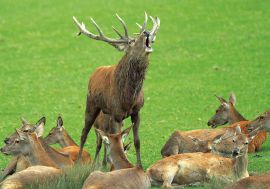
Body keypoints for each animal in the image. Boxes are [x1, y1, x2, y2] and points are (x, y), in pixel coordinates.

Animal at [72, 12, 160, 168]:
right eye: (131, 42)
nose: (146, 32)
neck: (128, 97)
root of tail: (95, 71)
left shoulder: (137, 111)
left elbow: (137, 141)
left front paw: (139, 165)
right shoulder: (116, 114)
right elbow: (116, 139)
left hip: (106, 112)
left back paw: (104, 163)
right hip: (91, 104)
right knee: (84, 133)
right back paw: (79, 163)